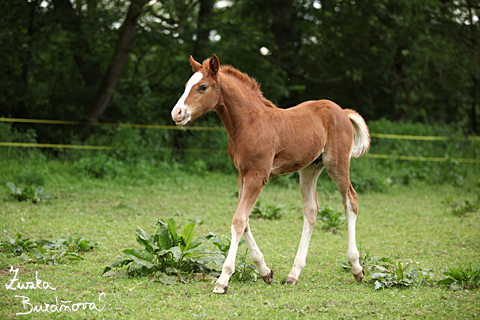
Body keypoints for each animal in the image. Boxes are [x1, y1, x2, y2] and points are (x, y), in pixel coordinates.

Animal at [171, 53, 370, 294]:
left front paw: (223, 280)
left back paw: (356, 267)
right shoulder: (242, 174)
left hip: (337, 164)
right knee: (311, 210)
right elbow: (245, 219)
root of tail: (342, 111)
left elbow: (239, 220)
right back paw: (294, 274)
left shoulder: (258, 176)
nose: (177, 113)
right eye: (186, 85)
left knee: (350, 200)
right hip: (310, 168)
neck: (249, 123)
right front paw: (265, 271)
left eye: (202, 87)